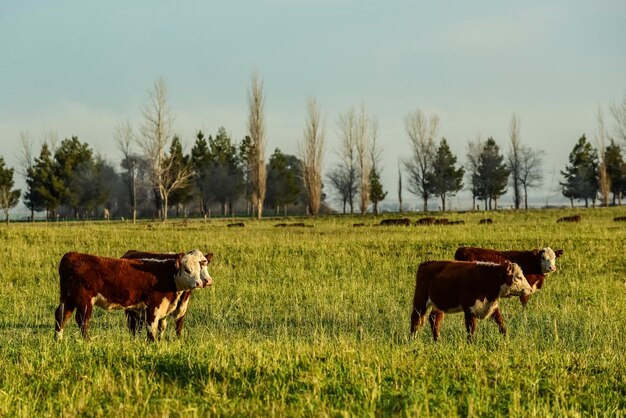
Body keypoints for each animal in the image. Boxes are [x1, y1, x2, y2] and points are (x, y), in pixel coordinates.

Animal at [54, 250, 210, 342]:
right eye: (187, 269)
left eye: (201, 267)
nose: (199, 282)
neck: (167, 274)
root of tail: (72, 255)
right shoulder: (153, 306)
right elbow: (151, 327)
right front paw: (152, 344)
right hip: (84, 301)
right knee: (82, 321)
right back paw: (88, 341)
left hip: (69, 299)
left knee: (61, 316)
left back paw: (58, 340)